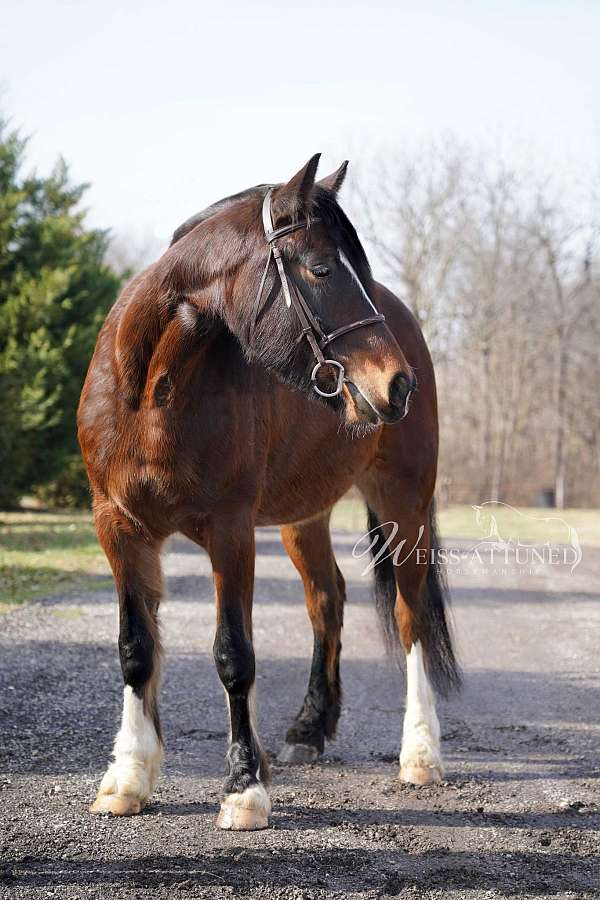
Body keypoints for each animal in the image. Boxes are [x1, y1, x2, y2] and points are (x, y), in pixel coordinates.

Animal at [76, 153, 460, 828]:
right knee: (327, 599)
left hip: (404, 503)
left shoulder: (229, 529)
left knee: (411, 614)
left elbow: (234, 653)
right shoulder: (118, 527)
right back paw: (309, 730)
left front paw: (244, 788)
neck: (150, 389)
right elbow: (136, 647)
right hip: (301, 516)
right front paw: (127, 777)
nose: (397, 384)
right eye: (322, 268)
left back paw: (420, 754)